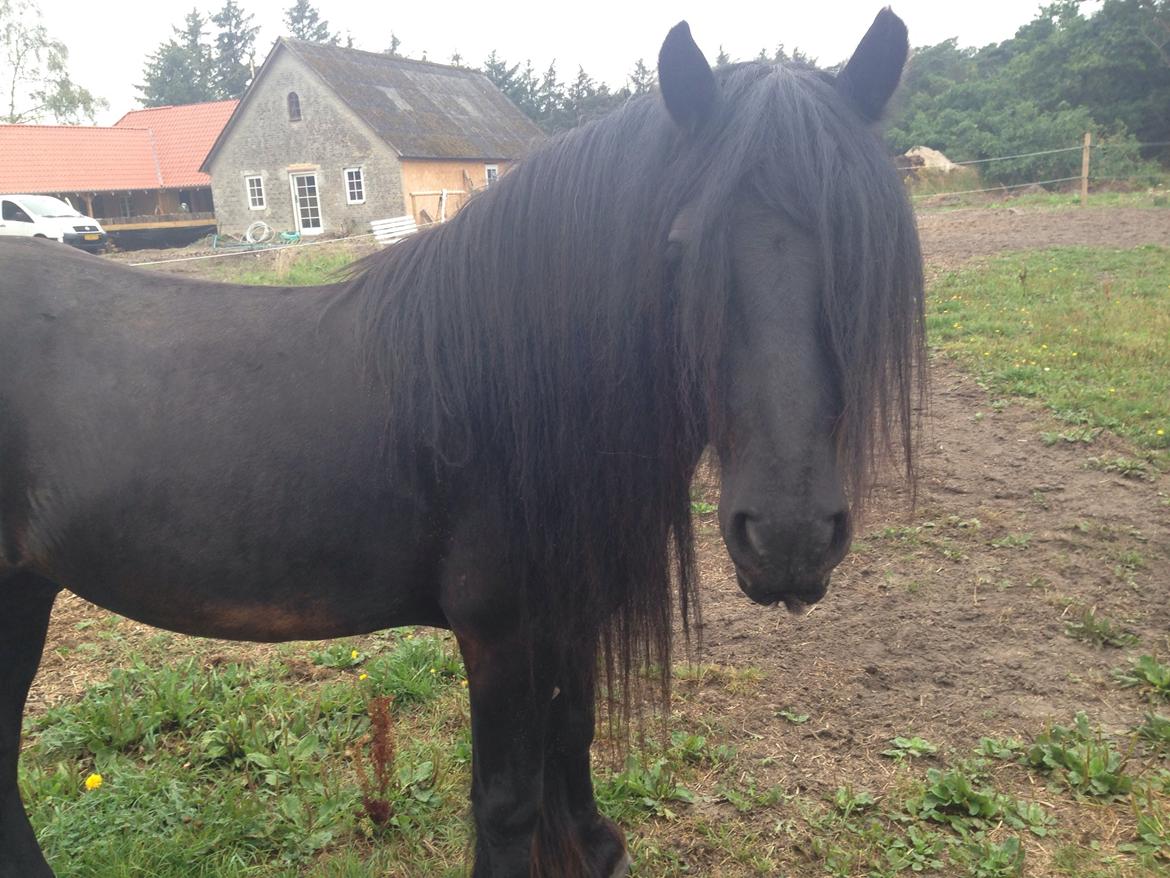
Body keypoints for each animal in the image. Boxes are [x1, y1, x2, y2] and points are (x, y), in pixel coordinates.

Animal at [0, 10, 923, 877]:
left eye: (869, 245)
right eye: (677, 250)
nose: (790, 539)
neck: (506, 389)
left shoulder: (571, 610)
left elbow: (572, 736)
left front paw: (592, 847)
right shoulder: (499, 631)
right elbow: (508, 801)